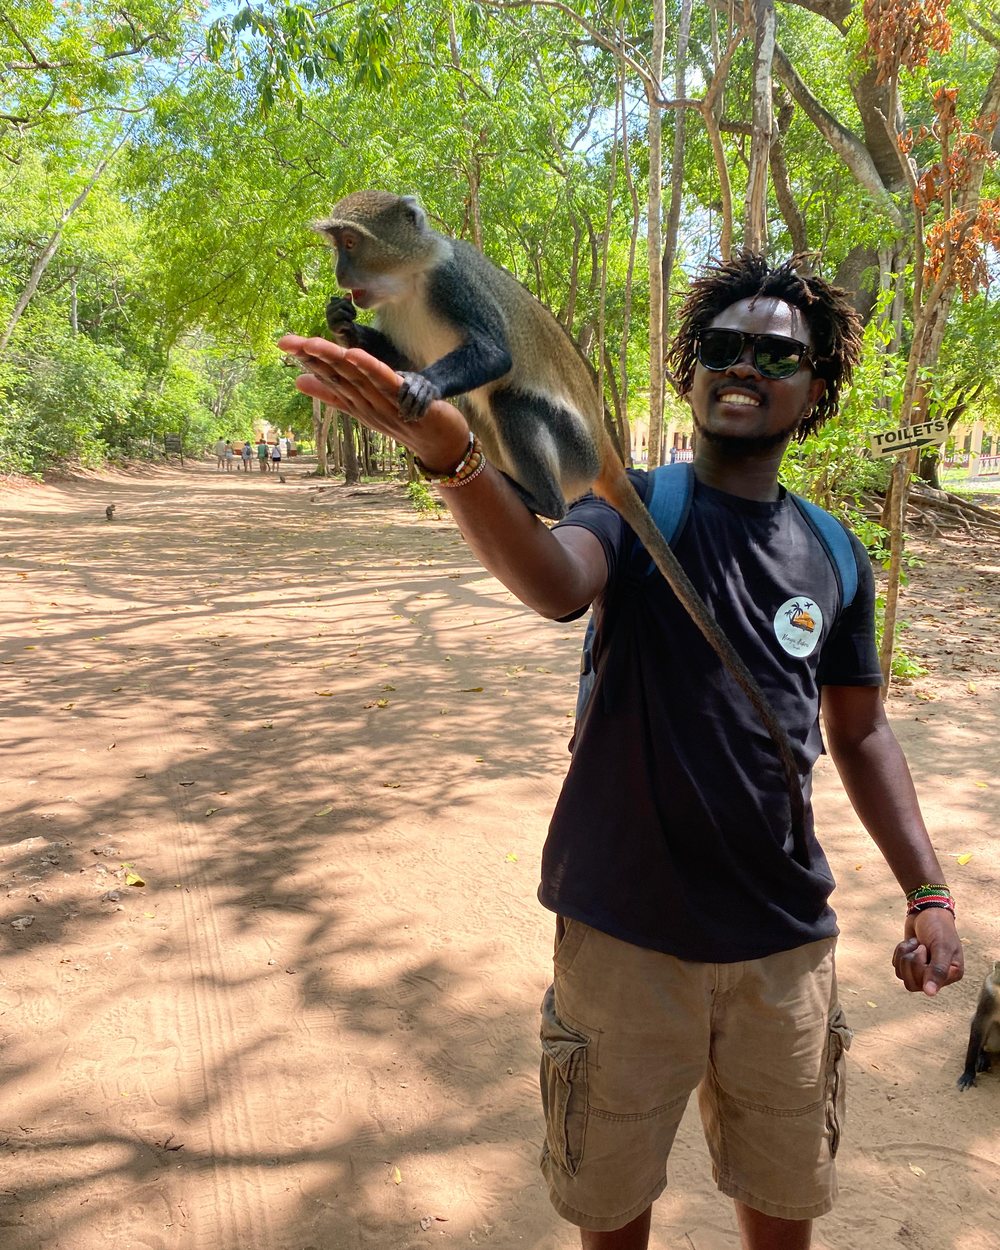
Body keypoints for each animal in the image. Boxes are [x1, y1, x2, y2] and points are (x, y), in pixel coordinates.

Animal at [305, 191, 809, 857]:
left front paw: (422, 383)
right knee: (479, 407)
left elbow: (495, 356)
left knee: (509, 398)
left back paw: (534, 494)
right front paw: (342, 323)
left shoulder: (454, 285)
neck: (410, 280)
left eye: (350, 243)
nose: (340, 277)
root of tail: (606, 454)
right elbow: (403, 352)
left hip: (569, 448)